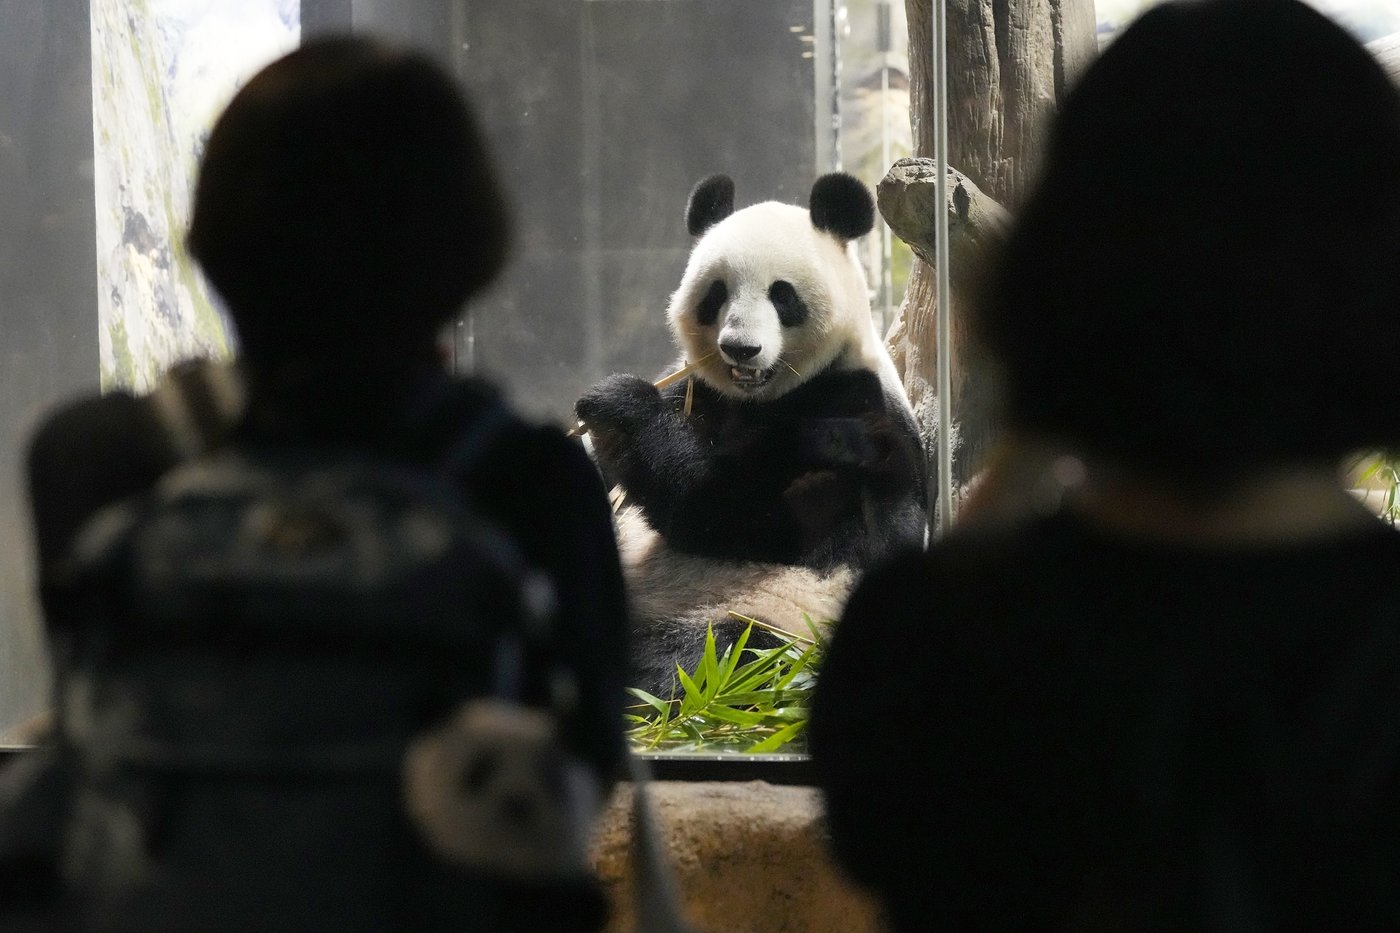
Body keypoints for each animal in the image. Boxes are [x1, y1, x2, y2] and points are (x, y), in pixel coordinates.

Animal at [576, 172, 928, 696]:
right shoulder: (696, 388)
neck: (761, 397)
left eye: (782, 295)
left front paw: (620, 409)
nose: (741, 349)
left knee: (706, 659)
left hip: (780, 622)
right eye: (715, 294)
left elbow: (741, 516)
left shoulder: (850, 416)